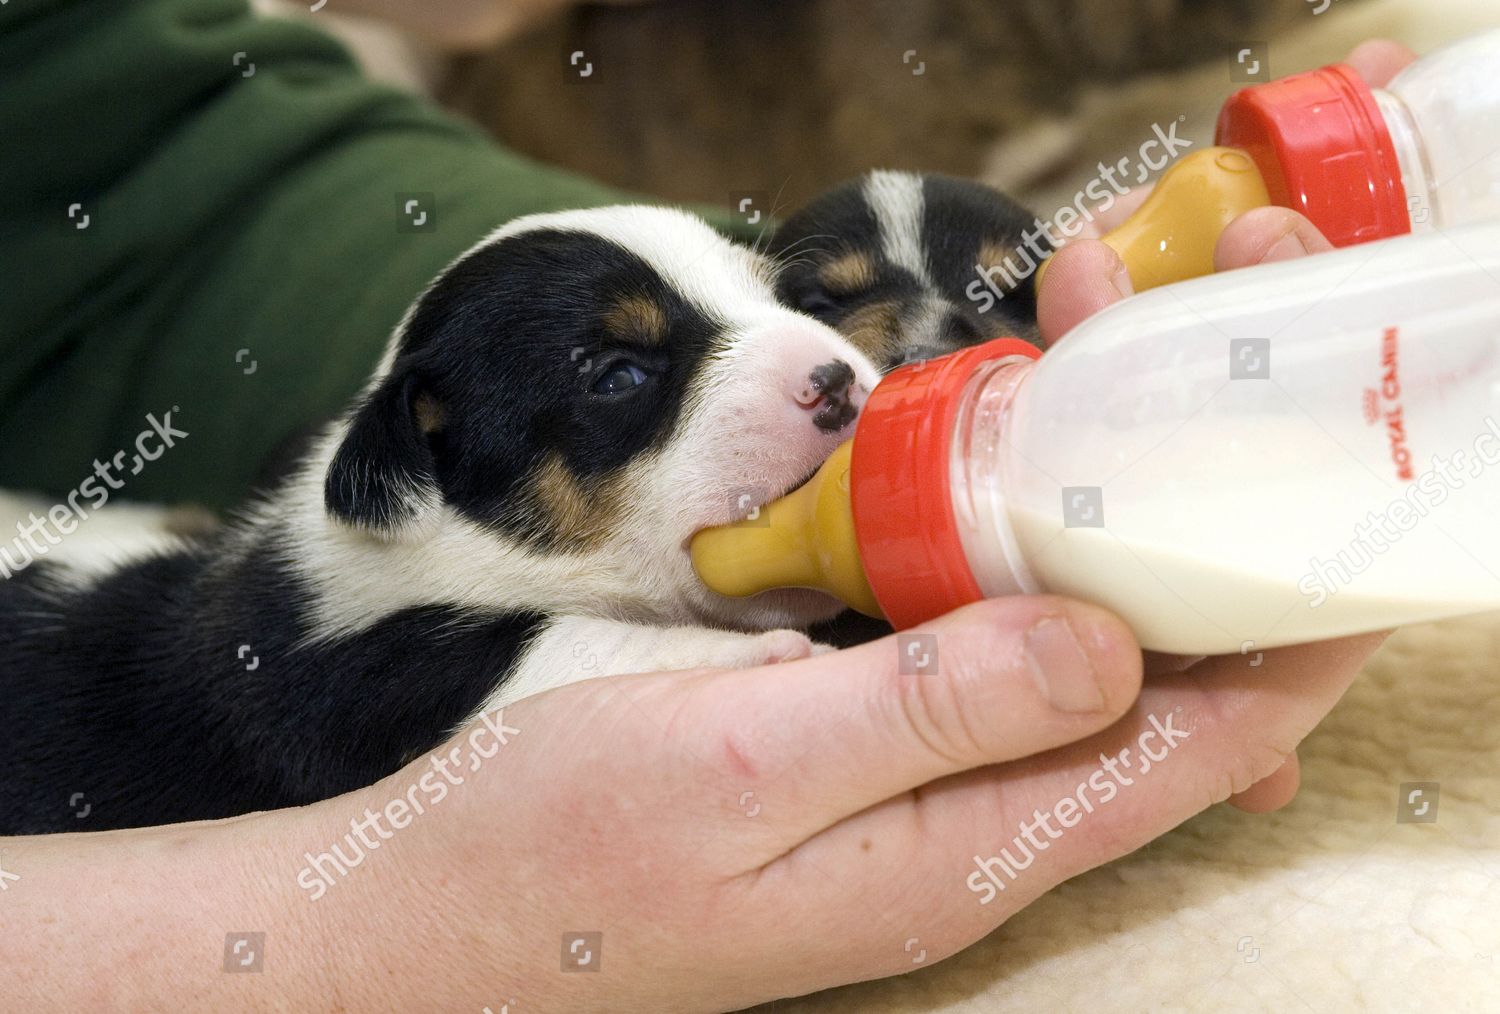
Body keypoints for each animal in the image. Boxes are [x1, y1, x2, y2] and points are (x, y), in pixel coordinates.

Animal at [2, 204, 888, 834]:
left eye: (777, 296)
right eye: (617, 376)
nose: (835, 379)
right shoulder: (363, 684)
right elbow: (562, 643)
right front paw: (755, 654)